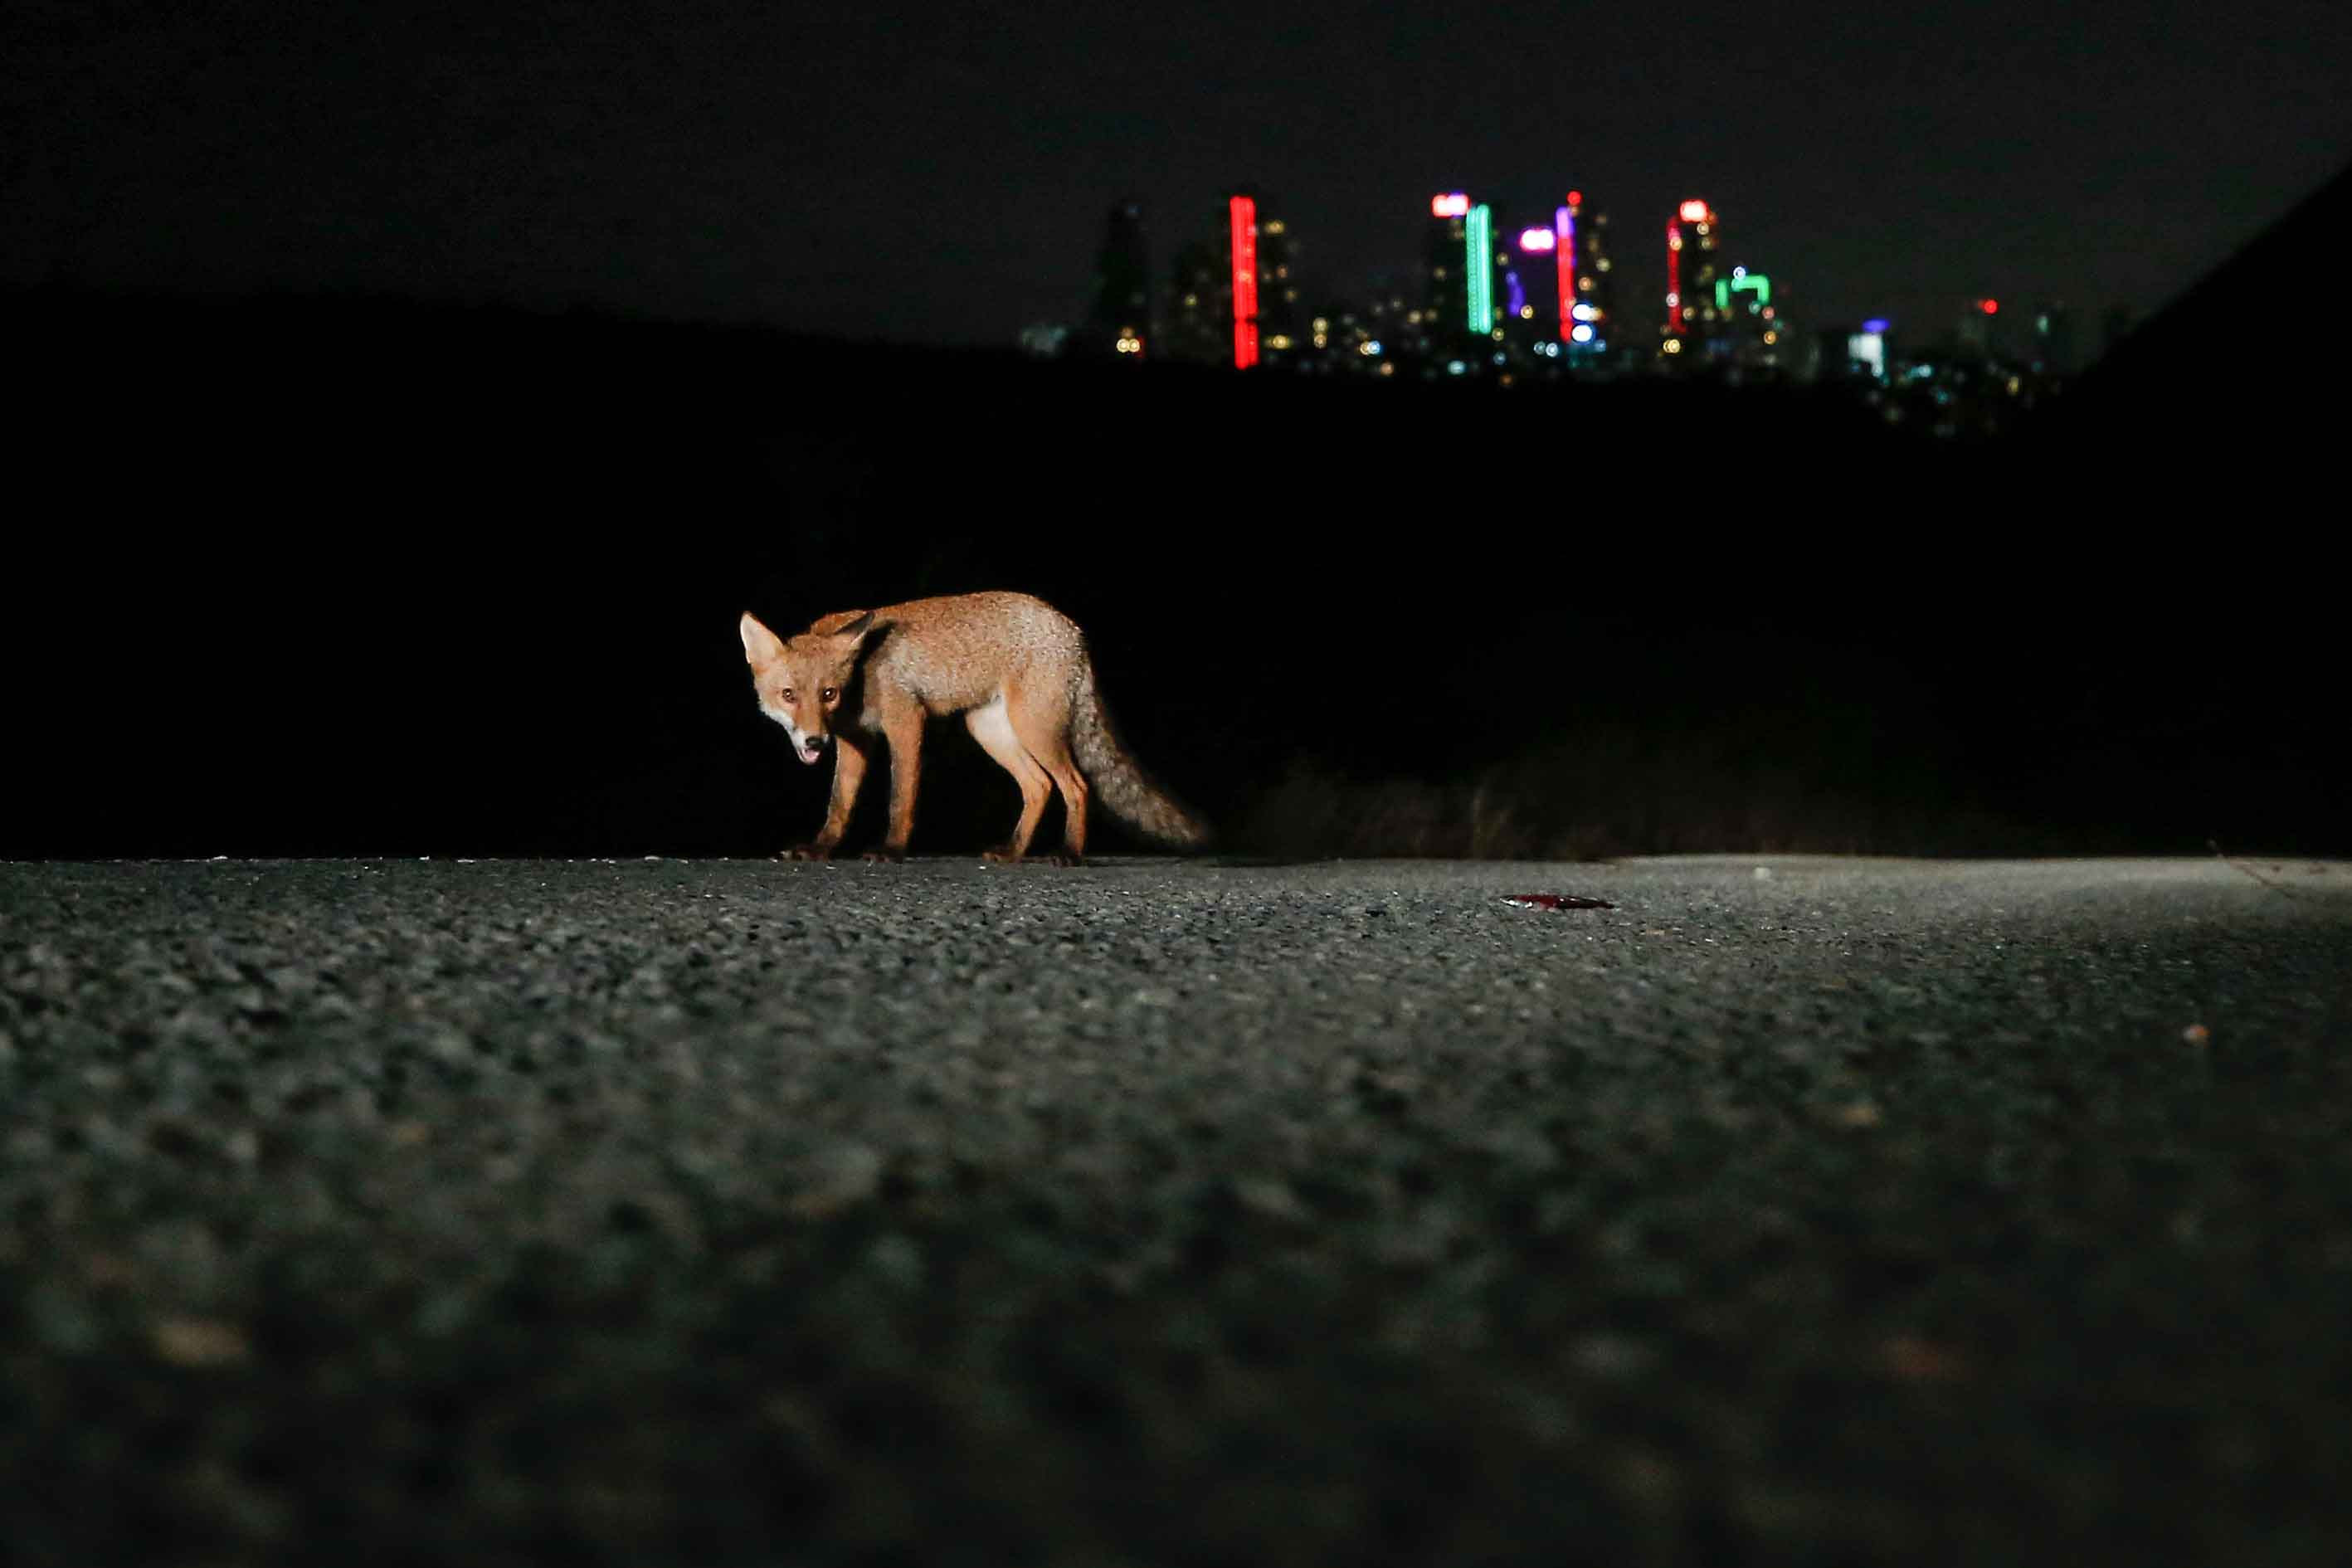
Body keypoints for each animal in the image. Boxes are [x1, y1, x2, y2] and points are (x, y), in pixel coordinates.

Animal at [738, 594, 1213, 864]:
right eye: (788, 695)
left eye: (828, 693)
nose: (814, 740)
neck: (861, 677)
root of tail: (1073, 630)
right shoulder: (855, 740)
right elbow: (839, 805)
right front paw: (820, 850)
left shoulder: (906, 721)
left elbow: (901, 798)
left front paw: (892, 850)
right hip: (989, 730)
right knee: (1039, 786)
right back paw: (1014, 852)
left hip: (1035, 728)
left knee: (1076, 786)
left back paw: (1069, 854)